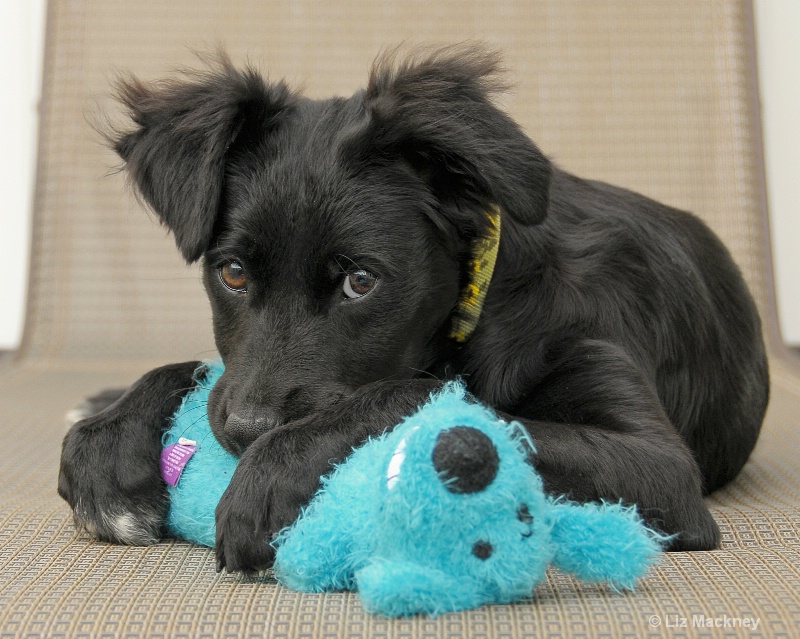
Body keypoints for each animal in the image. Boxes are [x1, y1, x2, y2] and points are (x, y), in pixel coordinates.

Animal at [56, 45, 768, 576]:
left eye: (361, 282)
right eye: (232, 273)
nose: (246, 433)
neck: (481, 310)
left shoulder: (663, 470)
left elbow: (416, 393)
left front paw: (275, 471)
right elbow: (198, 370)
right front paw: (106, 442)